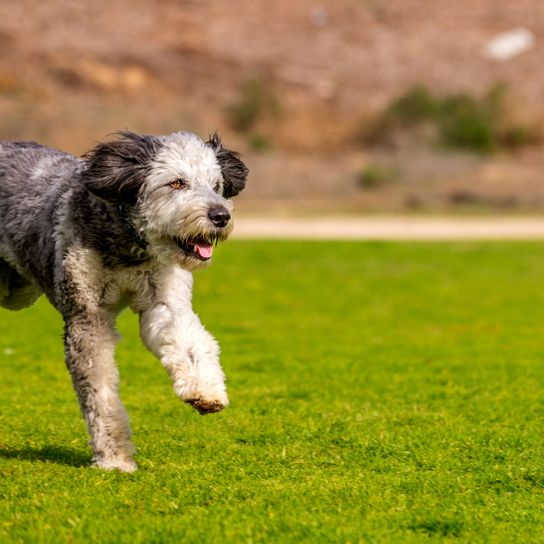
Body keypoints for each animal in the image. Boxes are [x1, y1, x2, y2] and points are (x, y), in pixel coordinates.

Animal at [0, 130, 249, 470]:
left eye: (215, 185)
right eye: (177, 183)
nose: (220, 216)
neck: (128, 244)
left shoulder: (165, 302)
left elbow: (190, 342)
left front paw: (204, 390)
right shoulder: (88, 317)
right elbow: (100, 391)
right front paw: (114, 457)